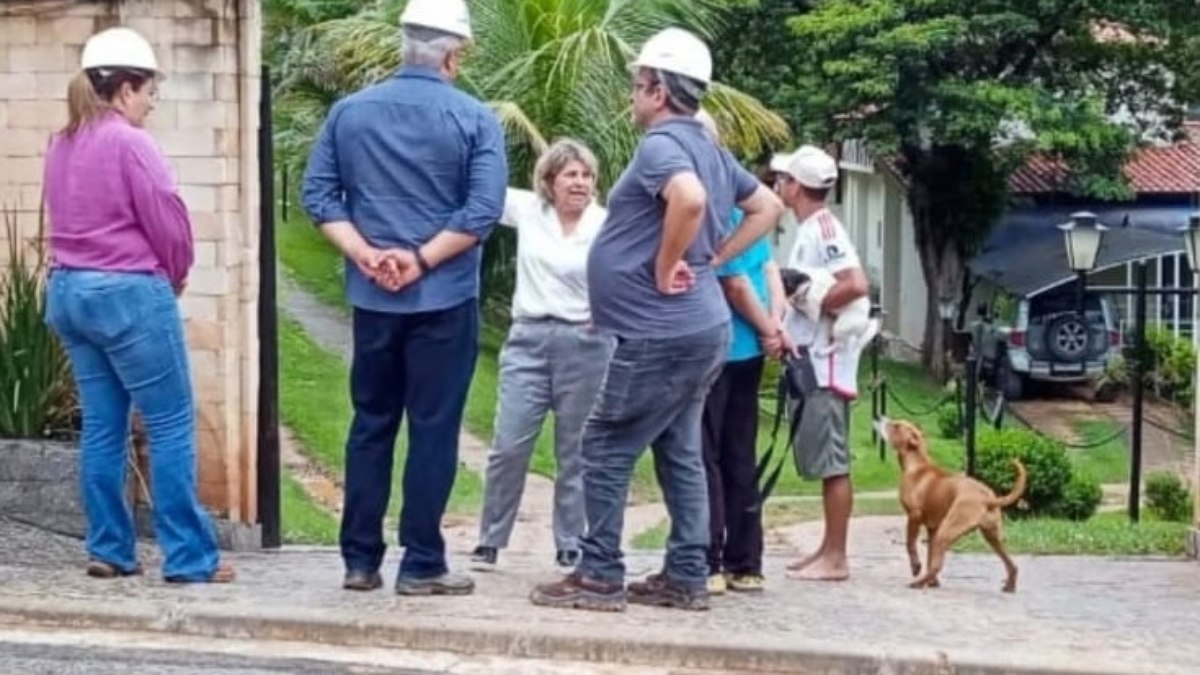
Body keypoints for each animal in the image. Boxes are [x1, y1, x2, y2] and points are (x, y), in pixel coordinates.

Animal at [878, 413, 1027, 590]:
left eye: (897, 426)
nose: (880, 416)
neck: (917, 464)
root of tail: (988, 497)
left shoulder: (914, 517)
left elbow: (910, 545)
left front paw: (916, 568)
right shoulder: (932, 529)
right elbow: (930, 557)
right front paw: (933, 583)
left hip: (947, 530)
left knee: (937, 566)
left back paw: (918, 582)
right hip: (992, 536)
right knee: (1011, 564)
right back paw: (1009, 586)